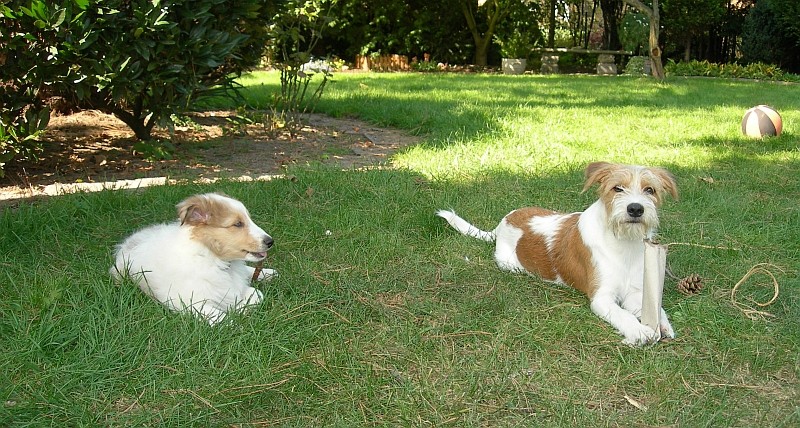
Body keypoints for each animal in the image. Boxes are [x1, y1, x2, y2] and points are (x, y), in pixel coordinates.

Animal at [111, 193, 276, 324]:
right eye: (238, 224)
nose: (270, 241)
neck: (214, 260)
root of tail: (127, 243)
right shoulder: (190, 302)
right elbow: (220, 316)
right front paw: (236, 315)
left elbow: (257, 294)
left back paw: (269, 273)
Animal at [440, 162, 680, 346]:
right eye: (617, 188)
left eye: (650, 190)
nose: (636, 209)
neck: (622, 243)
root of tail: (502, 223)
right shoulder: (601, 297)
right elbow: (622, 314)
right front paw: (639, 331)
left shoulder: (634, 292)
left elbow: (654, 307)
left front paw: (661, 324)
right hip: (510, 265)